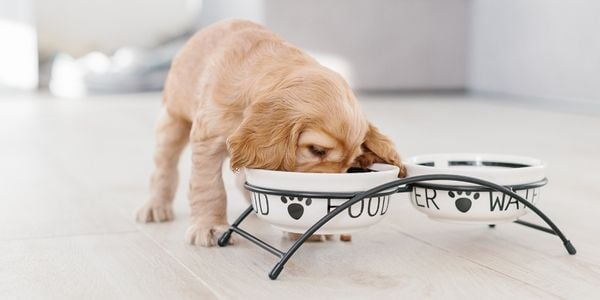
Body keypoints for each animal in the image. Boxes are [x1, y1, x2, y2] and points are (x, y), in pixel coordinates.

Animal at [136, 19, 406, 247]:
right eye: (316, 150)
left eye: (350, 165)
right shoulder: (208, 138)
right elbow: (209, 187)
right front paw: (209, 227)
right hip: (173, 119)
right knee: (164, 168)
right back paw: (155, 206)